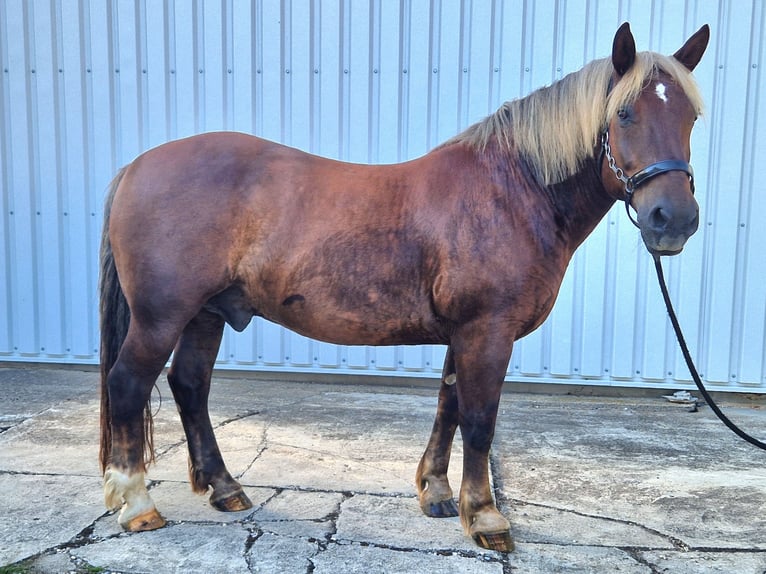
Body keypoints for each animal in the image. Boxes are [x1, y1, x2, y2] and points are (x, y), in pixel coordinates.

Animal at [99, 23, 712, 552]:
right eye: (624, 113)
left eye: (691, 117)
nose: (673, 220)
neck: (512, 192)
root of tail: (135, 168)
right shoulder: (487, 331)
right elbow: (480, 419)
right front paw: (485, 517)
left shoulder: (464, 333)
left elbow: (449, 405)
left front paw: (437, 495)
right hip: (161, 316)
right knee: (128, 384)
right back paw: (137, 505)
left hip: (205, 313)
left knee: (189, 385)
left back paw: (225, 488)